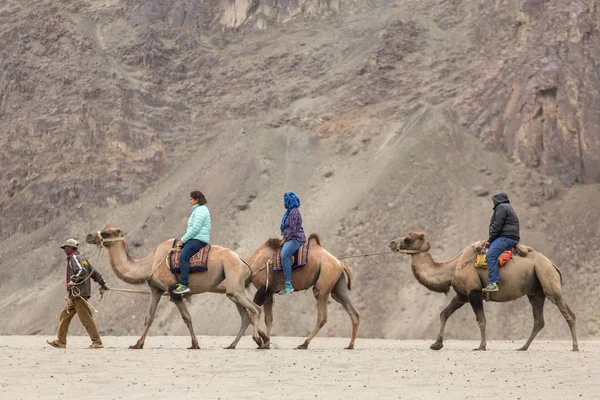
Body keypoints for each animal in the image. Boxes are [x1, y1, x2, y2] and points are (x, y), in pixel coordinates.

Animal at [85, 228, 264, 350]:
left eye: (106, 232)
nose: (88, 236)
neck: (150, 263)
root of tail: (242, 261)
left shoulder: (173, 290)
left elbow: (187, 317)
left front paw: (195, 344)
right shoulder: (156, 289)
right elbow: (149, 317)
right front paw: (137, 344)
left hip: (234, 281)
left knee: (256, 309)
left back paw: (259, 340)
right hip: (235, 289)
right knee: (246, 315)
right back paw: (234, 345)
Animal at [223, 234, 358, 350]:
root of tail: (340, 263)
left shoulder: (264, 289)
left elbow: (253, 312)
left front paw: (261, 340)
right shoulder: (269, 292)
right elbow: (268, 318)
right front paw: (266, 343)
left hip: (324, 281)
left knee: (322, 316)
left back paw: (304, 344)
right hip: (337, 286)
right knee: (352, 312)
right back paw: (350, 345)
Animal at [386, 231, 580, 350]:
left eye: (408, 238)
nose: (391, 243)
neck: (453, 267)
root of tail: (552, 264)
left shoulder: (473, 292)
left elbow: (481, 321)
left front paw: (481, 346)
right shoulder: (461, 295)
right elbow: (444, 314)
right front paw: (436, 344)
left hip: (548, 282)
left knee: (567, 314)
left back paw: (575, 347)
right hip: (535, 292)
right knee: (539, 320)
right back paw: (522, 347)